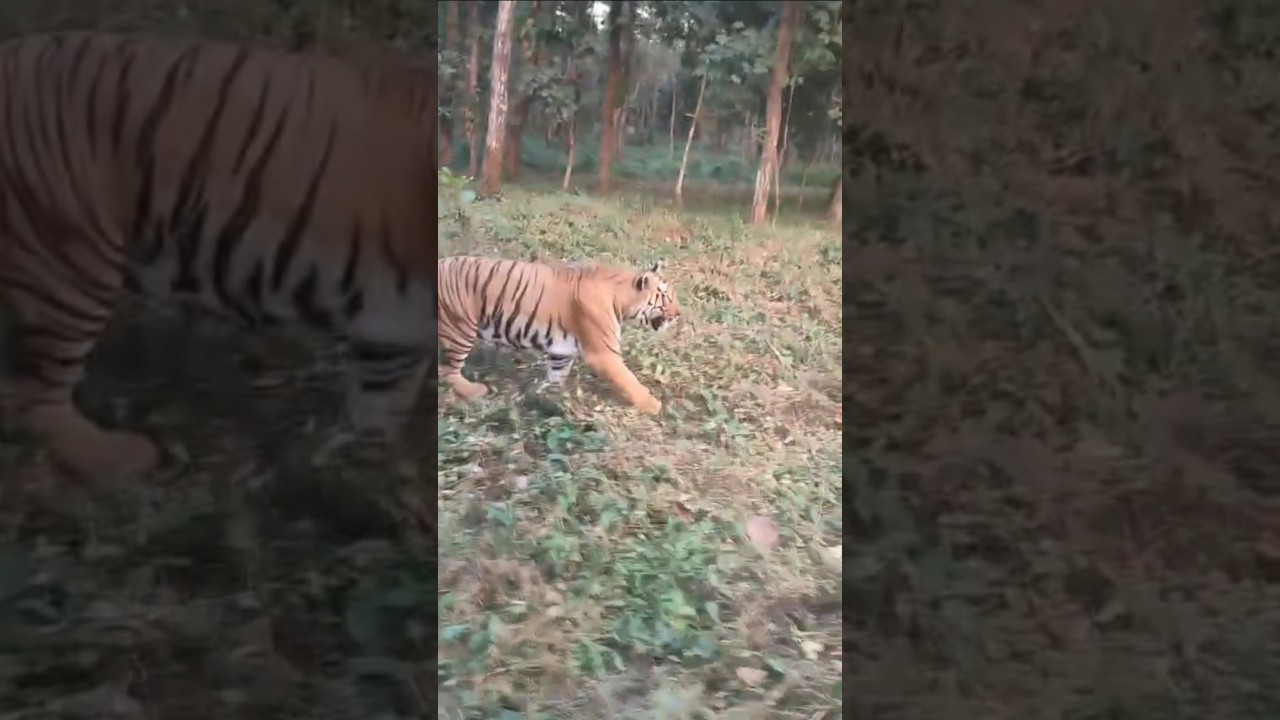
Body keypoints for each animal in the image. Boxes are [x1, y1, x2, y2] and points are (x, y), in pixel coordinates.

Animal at [0, 32, 440, 481]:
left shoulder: (390, 334)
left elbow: (377, 412)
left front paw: (363, 471)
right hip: (71, 263)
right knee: (40, 394)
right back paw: (119, 456)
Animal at [436, 256, 679, 415]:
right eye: (666, 296)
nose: (679, 314)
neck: (622, 300)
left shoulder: (562, 351)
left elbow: (556, 375)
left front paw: (547, 397)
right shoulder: (604, 354)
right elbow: (629, 381)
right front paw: (654, 406)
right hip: (460, 328)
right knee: (448, 370)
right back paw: (474, 390)